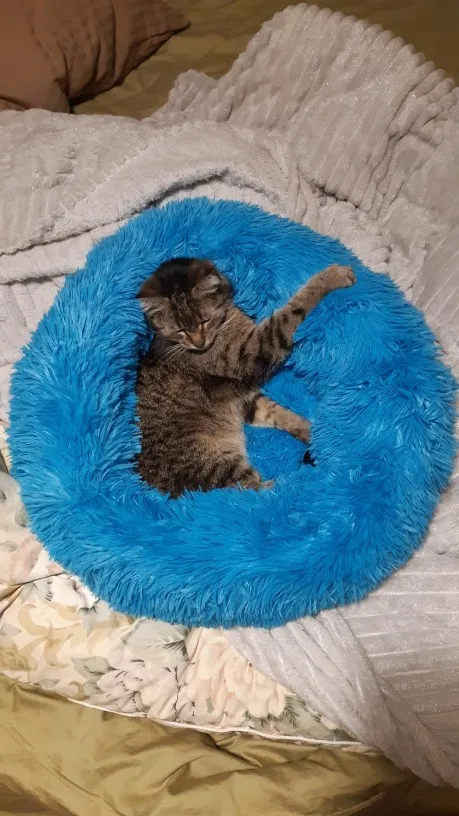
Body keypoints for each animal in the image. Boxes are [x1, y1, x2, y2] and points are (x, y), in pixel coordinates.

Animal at [136, 257, 355, 497]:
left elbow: (277, 412)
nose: (199, 343)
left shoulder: (244, 397)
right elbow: (291, 311)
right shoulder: (257, 350)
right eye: (180, 330)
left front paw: (310, 431)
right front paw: (333, 275)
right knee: (265, 493)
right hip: (220, 471)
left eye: (204, 321)